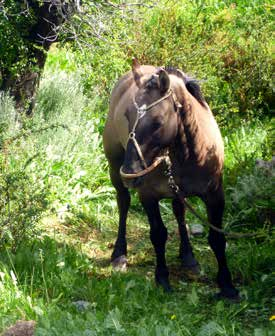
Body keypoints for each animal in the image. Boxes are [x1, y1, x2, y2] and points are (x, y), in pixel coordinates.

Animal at [103, 58, 239, 300]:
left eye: (157, 122)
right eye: (127, 116)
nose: (130, 172)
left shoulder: (215, 194)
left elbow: (217, 238)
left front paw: (227, 286)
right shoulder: (148, 195)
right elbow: (158, 234)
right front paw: (162, 279)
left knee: (179, 212)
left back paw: (188, 257)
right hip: (114, 166)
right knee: (123, 203)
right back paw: (119, 253)